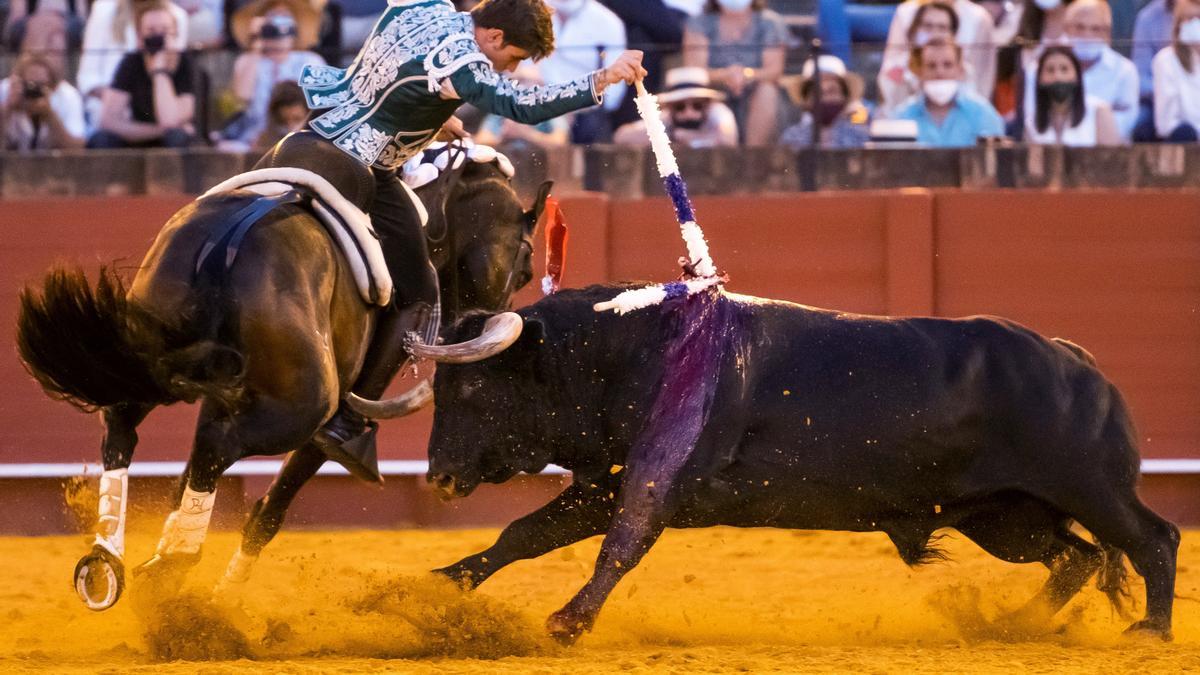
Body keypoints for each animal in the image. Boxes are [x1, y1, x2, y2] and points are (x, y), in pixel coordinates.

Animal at [18, 158, 547, 610]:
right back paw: (169, 564)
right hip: (305, 406)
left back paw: (108, 561)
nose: (481, 320)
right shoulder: (328, 426)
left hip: (149, 351)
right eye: (525, 266)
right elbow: (271, 508)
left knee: (127, 426)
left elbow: (187, 477)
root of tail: (233, 233)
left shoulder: (223, 398)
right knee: (213, 446)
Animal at [427, 282, 1176, 638]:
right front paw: (433, 587)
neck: (632, 352)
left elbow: (620, 544)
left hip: (1091, 489)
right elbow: (525, 533)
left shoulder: (653, 483)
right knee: (1076, 558)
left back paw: (1149, 629)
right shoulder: (607, 482)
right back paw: (1009, 625)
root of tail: (1076, 362)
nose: (437, 477)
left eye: (471, 387)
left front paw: (569, 622)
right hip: (1003, 518)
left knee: (1153, 538)